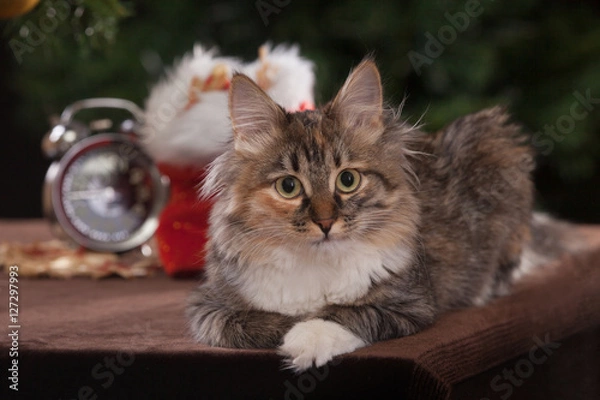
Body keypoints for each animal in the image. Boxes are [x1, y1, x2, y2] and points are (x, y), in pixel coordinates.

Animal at [189, 58, 572, 372]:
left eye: (347, 180)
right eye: (288, 187)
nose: (325, 223)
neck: (318, 265)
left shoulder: (413, 304)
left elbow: (348, 314)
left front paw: (307, 338)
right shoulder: (207, 309)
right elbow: (253, 324)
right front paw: (293, 327)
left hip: (494, 143)